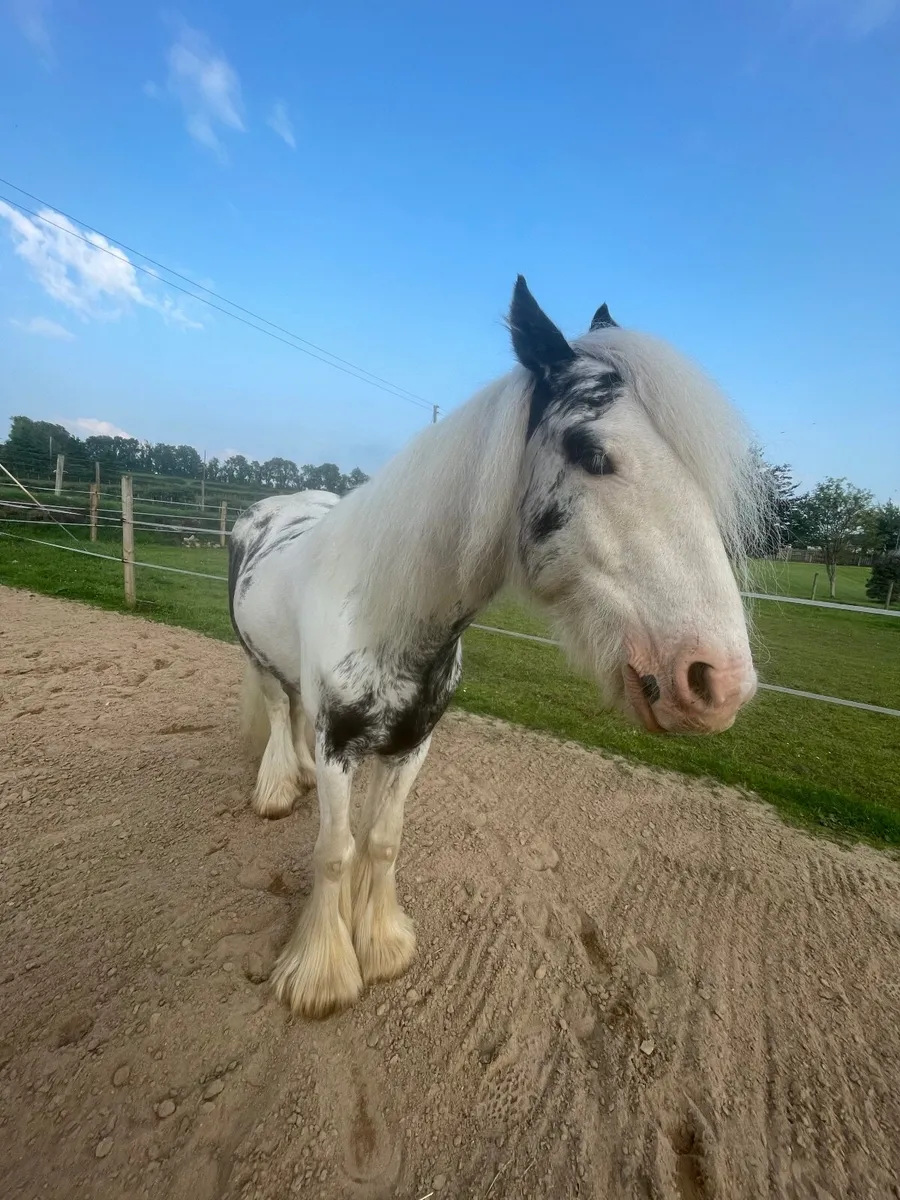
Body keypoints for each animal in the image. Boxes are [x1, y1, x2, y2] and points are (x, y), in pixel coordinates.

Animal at [228, 276, 765, 1019]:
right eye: (592, 453)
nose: (720, 682)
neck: (385, 611)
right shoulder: (343, 746)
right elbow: (335, 849)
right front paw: (322, 975)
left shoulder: (414, 744)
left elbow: (382, 841)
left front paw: (383, 944)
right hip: (260, 662)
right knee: (281, 713)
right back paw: (279, 787)